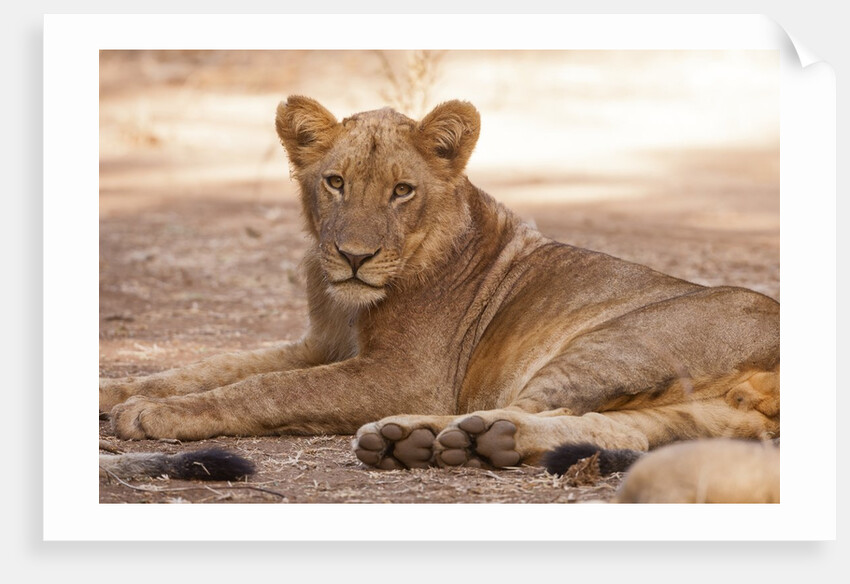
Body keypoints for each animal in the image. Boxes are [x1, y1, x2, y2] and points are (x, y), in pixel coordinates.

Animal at [101, 96, 779, 482]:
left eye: (402, 190)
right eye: (335, 182)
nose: (354, 258)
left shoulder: (404, 373)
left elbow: (268, 389)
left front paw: (154, 413)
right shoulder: (322, 344)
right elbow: (212, 366)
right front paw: (120, 391)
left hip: (616, 344)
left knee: (537, 407)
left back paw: (417, 438)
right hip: (699, 415)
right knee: (619, 431)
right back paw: (463, 445)